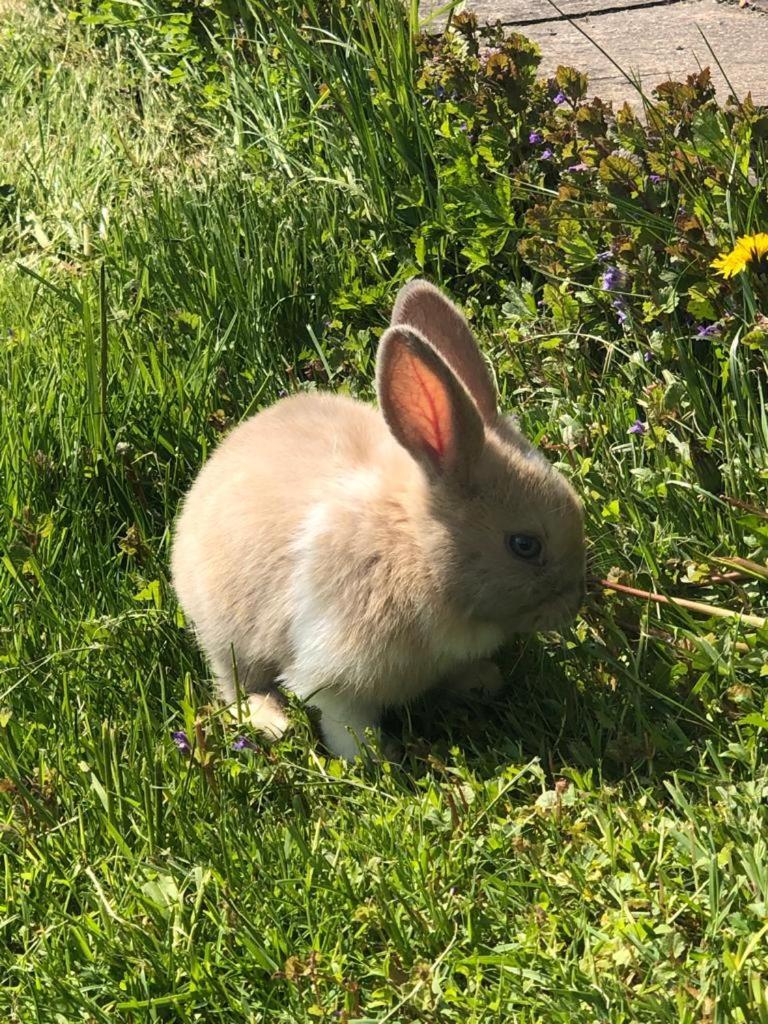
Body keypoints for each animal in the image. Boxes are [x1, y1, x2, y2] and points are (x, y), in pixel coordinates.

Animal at [171, 280, 585, 761]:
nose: (574, 603)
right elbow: (345, 723)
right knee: (233, 683)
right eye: (525, 545)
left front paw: (481, 682)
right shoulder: (335, 676)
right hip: (227, 639)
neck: (415, 553)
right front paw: (375, 760)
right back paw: (273, 723)